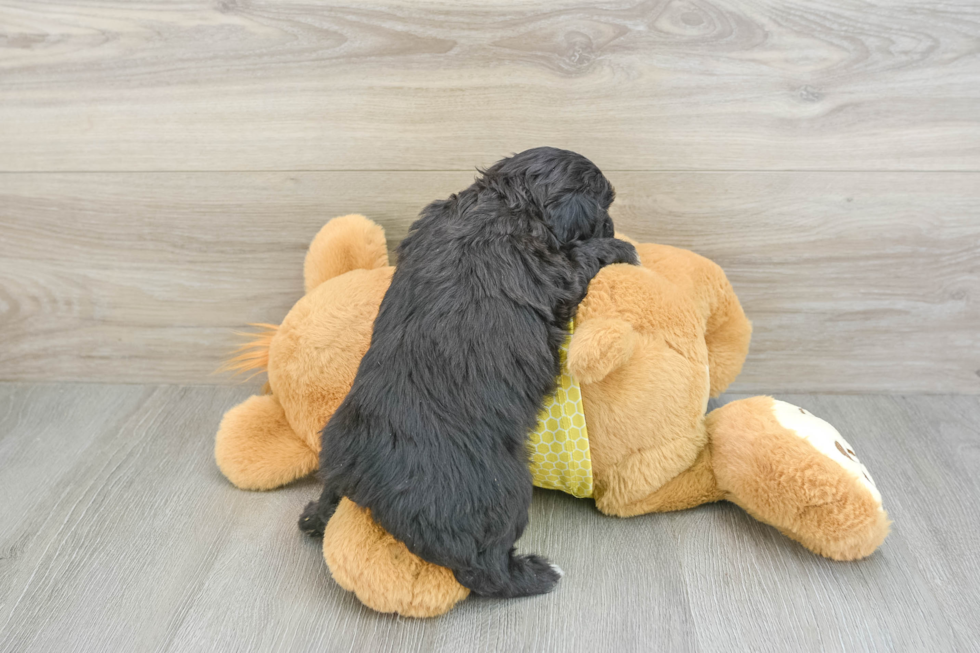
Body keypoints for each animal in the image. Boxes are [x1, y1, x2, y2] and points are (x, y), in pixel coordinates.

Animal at [298, 148, 636, 596]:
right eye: (605, 206)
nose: (613, 224)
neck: (505, 199)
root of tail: (364, 479)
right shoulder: (558, 270)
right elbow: (583, 258)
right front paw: (621, 246)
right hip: (500, 494)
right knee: (485, 569)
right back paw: (538, 573)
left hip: (338, 456)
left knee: (329, 496)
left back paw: (313, 517)